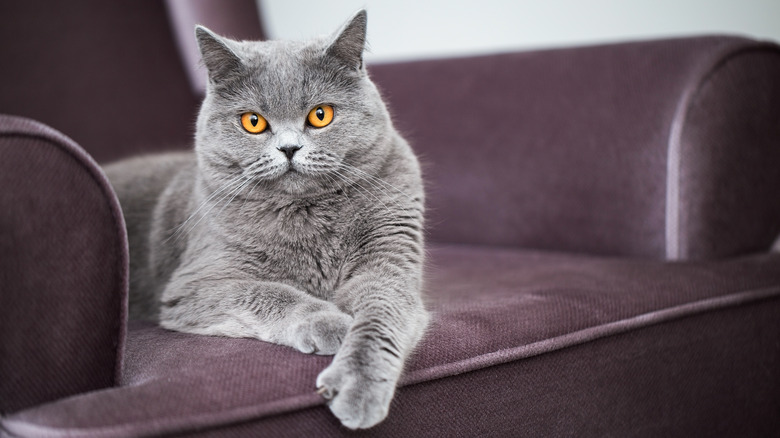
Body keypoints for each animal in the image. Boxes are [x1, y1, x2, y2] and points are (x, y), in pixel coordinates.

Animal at [103, 11, 426, 432]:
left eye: (321, 115)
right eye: (253, 121)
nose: (289, 148)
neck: (308, 215)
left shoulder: (390, 257)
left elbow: (380, 314)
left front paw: (358, 387)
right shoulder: (196, 283)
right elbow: (270, 293)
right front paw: (331, 323)